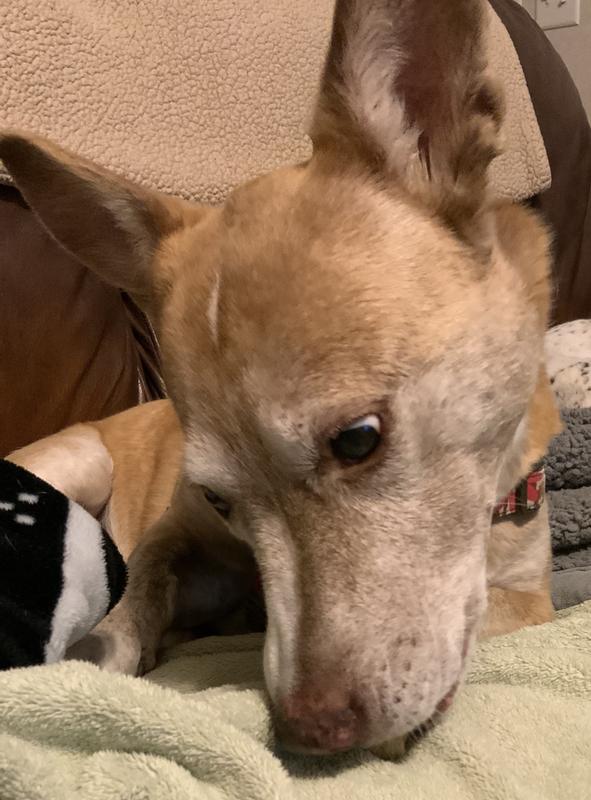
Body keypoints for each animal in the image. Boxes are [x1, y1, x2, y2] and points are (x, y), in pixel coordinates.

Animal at [1, 0, 561, 756]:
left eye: (357, 439)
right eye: (215, 496)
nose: (307, 733)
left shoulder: (532, 594)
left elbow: (496, 610)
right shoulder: (173, 525)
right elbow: (143, 572)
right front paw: (108, 648)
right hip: (81, 460)